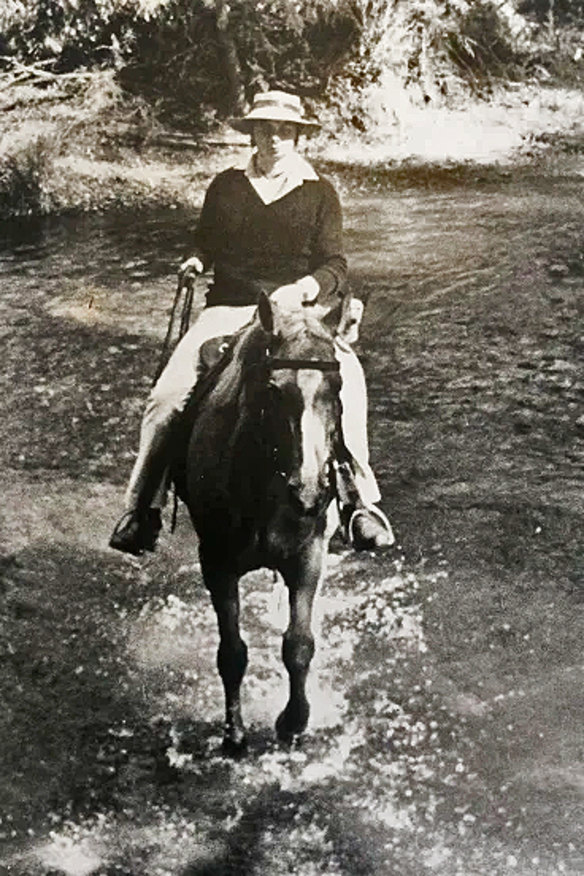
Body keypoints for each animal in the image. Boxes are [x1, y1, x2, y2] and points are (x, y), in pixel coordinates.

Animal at [179, 293, 344, 752]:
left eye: (337, 387)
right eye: (274, 390)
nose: (309, 491)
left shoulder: (308, 555)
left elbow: (299, 644)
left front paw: (294, 720)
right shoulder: (216, 563)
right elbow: (232, 652)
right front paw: (234, 732)